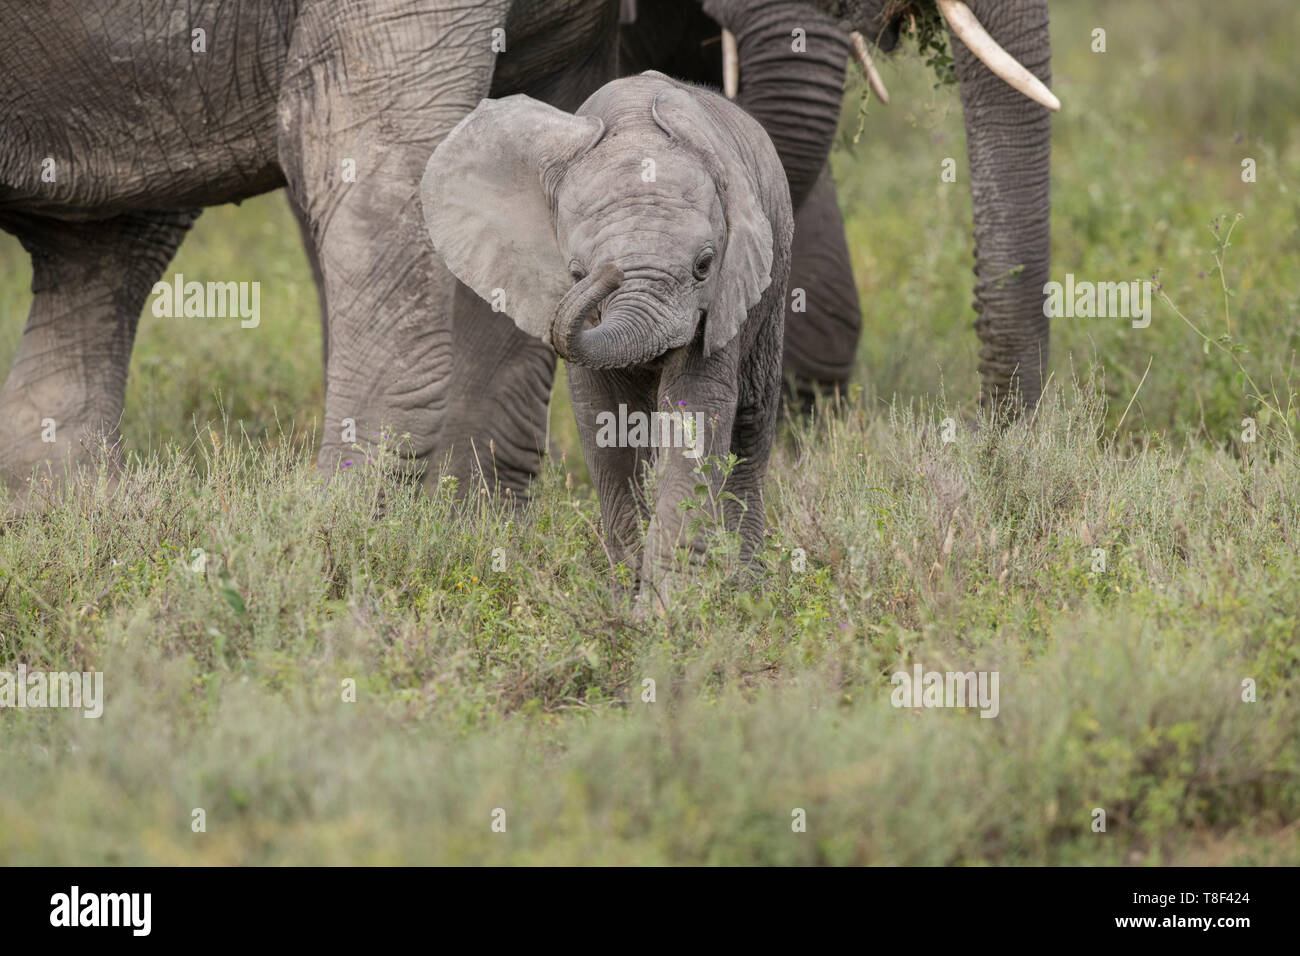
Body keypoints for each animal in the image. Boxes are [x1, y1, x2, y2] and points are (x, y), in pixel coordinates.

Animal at [426, 74, 790, 613]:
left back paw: (746, 592)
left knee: (751, 425)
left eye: (704, 265)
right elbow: (606, 420)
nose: (608, 272)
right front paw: (627, 601)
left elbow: (698, 411)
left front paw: (660, 615)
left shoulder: (725, 293)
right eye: (576, 273)